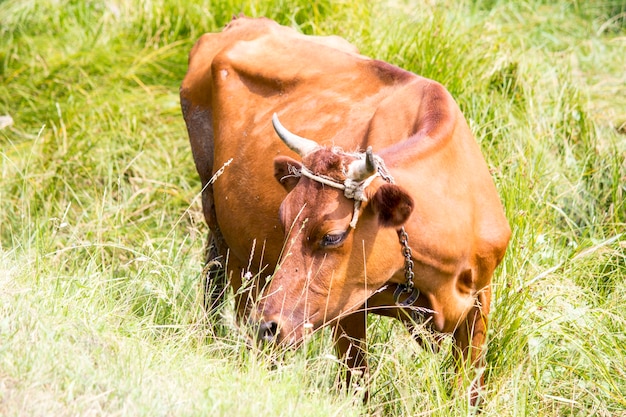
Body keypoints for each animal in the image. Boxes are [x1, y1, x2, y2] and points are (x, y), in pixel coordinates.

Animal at [179, 17, 508, 406]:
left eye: (333, 236)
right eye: (285, 221)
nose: (269, 325)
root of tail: (244, 22)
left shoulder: (480, 299)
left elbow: (468, 390)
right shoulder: (347, 307)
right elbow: (356, 383)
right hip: (230, 236)